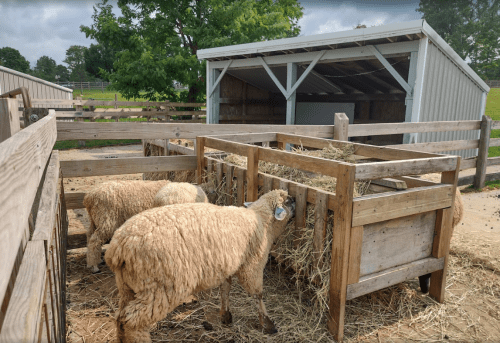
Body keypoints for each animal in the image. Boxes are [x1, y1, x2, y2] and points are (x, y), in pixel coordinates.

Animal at [104, 189, 292, 342]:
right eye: (290, 201)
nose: (295, 200)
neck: (261, 220)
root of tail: (119, 245)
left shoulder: (227, 265)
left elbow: (225, 289)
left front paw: (225, 316)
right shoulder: (252, 266)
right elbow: (257, 294)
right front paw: (267, 324)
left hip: (128, 286)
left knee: (120, 317)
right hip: (158, 287)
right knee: (132, 322)